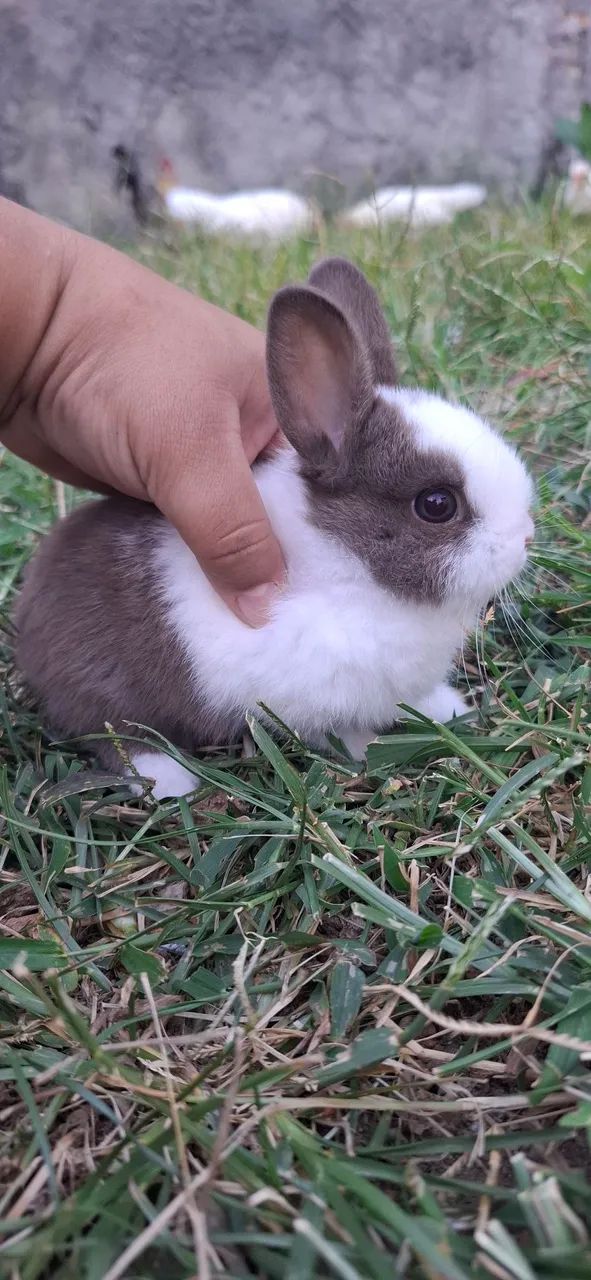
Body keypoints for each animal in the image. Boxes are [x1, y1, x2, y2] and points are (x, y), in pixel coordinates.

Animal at [14, 257, 534, 799]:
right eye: (437, 505)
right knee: (116, 736)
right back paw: (172, 782)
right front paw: (369, 751)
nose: (525, 538)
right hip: (102, 689)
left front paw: (449, 707)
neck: (347, 563)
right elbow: (337, 730)